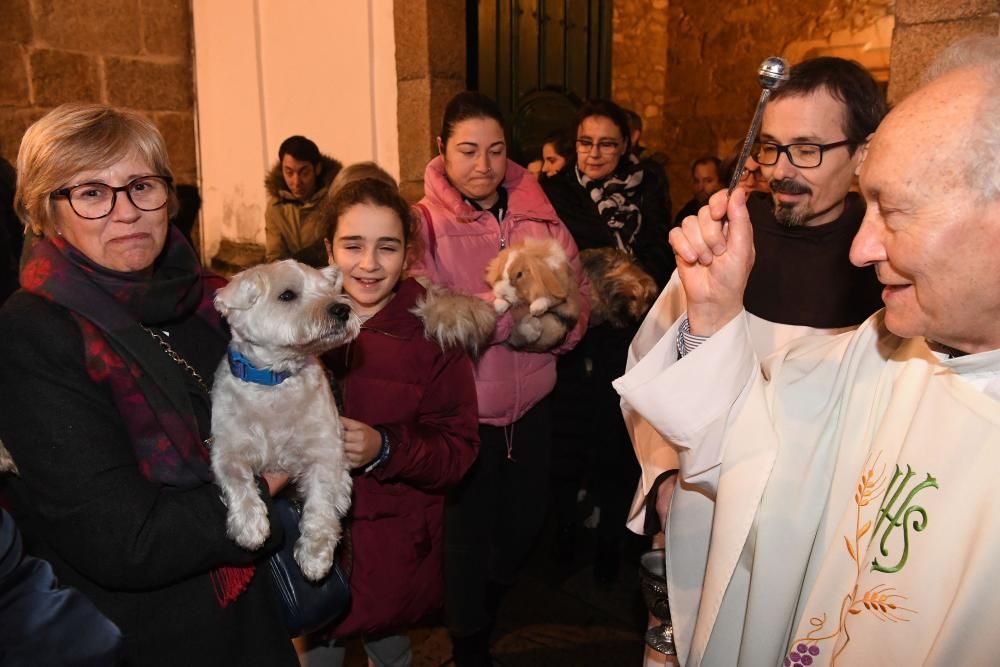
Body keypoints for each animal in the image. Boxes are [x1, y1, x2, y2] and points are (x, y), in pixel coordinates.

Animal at [211, 258, 360, 580]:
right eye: (287, 295)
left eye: (328, 290)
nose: (342, 309)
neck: (274, 382)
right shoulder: (226, 449)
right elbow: (237, 480)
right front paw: (250, 526)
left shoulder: (325, 452)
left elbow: (321, 504)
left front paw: (315, 556)